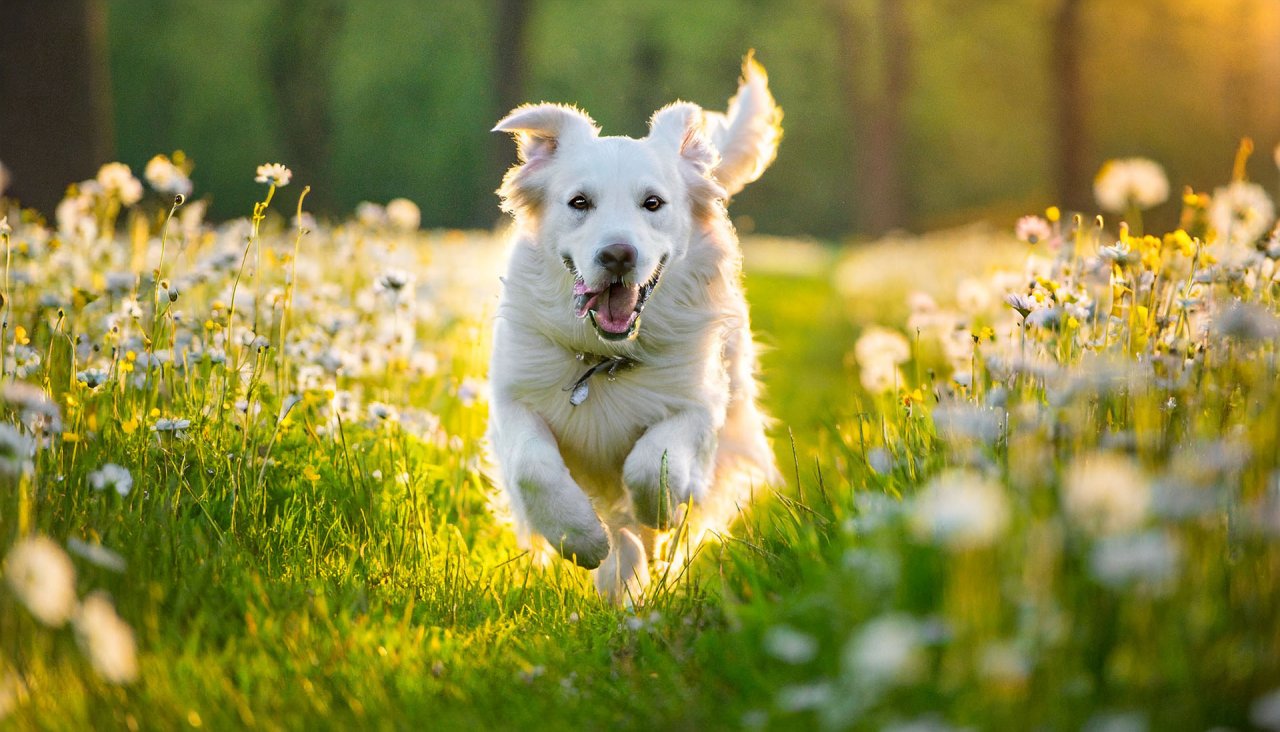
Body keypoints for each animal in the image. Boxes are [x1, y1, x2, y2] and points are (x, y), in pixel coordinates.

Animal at [483, 49, 778, 601]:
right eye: (579, 202)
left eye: (653, 203)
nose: (618, 254)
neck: (604, 359)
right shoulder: (513, 399)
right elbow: (534, 468)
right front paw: (579, 538)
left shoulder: (700, 406)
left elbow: (649, 463)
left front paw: (658, 512)